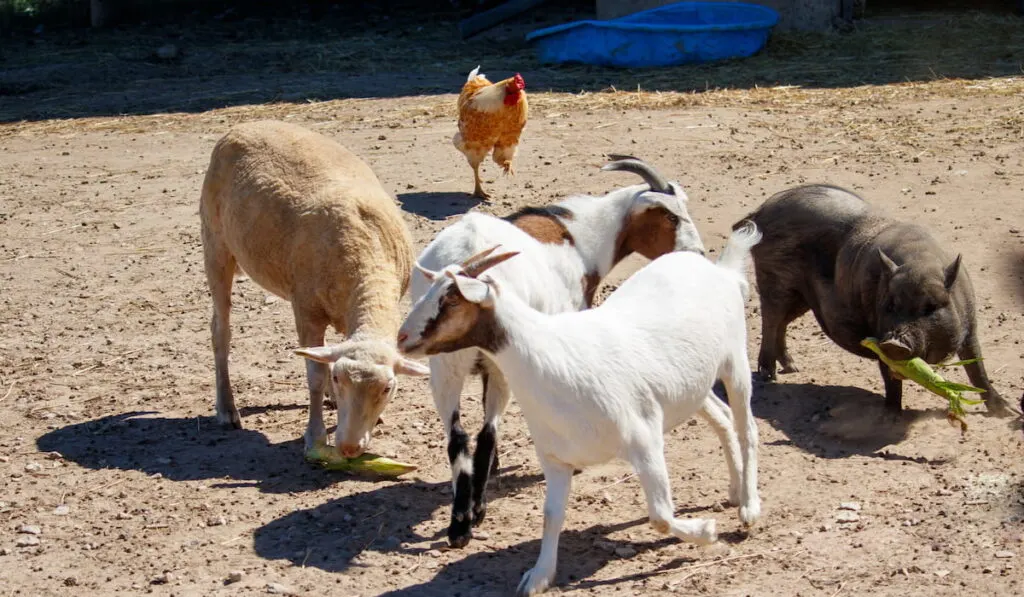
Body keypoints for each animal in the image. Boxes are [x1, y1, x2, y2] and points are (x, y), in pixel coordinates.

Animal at [199, 120, 428, 458]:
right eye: (338, 377)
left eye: (388, 388)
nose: (349, 448)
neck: (367, 266)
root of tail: (245, 124)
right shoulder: (306, 310)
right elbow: (315, 376)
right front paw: (315, 435)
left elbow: (325, 357)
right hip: (215, 244)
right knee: (220, 330)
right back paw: (227, 409)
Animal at [395, 224, 765, 597]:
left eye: (451, 299)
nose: (402, 337)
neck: (553, 360)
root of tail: (720, 270)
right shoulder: (556, 458)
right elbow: (551, 516)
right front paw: (539, 576)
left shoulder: (644, 442)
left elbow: (660, 516)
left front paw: (707, 532)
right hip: (692, 387)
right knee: (722, 419)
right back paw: (734, 491)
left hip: (735, 362)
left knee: (747, 430)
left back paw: (749, 507)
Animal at [403, 157, 708, 544]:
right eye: (670, 216)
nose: (697, 254)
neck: (576, 237)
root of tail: (466, 251)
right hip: (496, 365)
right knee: (485, 432)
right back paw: (475, 512)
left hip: (445, 366)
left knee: (457, 435)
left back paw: (459, 524)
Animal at [737, 184, 1007, 413]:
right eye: (891, 305)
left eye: (931, 307)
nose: (895, 343)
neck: (920, 263)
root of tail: (760, 212)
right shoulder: (876, 332)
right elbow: (890, 379)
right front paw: (892, 414)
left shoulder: (970, 328)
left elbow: (977, 369)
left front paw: (1007, 413)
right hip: (775, 282)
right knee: (770, 321)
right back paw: (769, 375)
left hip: (800, 299)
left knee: (781, 325)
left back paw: (793, 368)